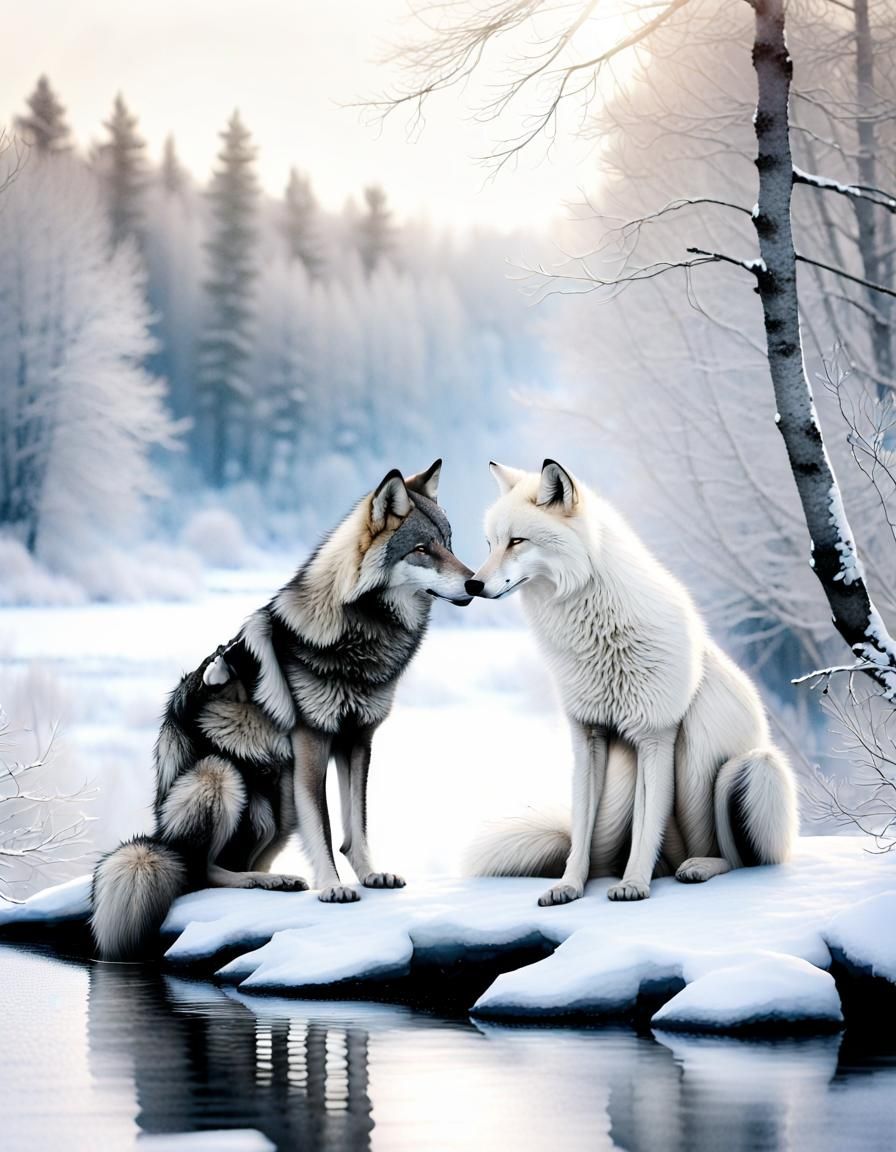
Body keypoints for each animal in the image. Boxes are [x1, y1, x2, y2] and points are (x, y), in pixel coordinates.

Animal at [91, 461, 473, 959]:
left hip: (282, 809)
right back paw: (265, 881)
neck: (360, 633)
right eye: (423, 550)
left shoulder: (358, 738)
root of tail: (158, 838)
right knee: (200, 872)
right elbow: (325, 825)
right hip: (219, 776)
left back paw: (277, 879)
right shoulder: (312, 739)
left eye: (450, 542)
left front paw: (370, 874)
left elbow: (356, 822)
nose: (474, 582)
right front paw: (332, 886)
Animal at [463, 459, 798, 906]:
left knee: (736, 860)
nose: (472, 584)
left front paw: (634, 883)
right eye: (491, 544)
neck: (597, 632)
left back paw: (696, 867)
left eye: (517, 541)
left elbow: (646, 826)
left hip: (749, 769)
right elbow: (581, 835)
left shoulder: (656, 735)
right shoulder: (588, 735)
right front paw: (569, 886)